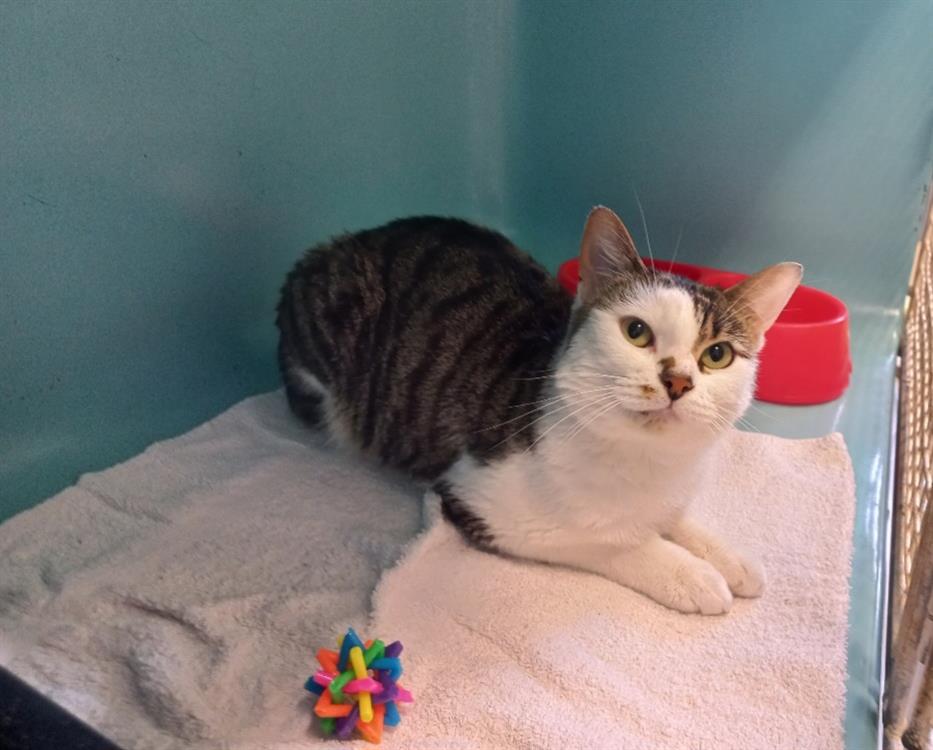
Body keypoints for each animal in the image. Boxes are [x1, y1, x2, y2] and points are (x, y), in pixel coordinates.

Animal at [276, 207, 802, 614]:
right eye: (636, 331)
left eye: (717, 355)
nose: (677, 381)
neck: (643, 461)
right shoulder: (484, 502)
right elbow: (608, 539)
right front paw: (691, 574)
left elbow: (675, 518)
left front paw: (730, 559)